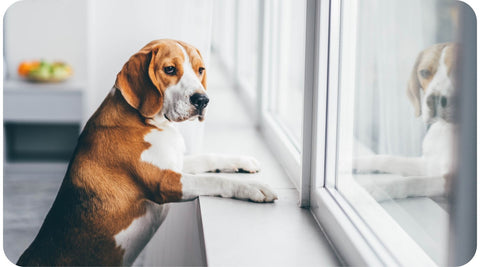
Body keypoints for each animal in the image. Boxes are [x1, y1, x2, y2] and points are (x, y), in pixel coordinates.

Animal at [16, 38, 278, 266]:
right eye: (170, 69)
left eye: (200, 70)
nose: (203, 100)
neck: (149, 122)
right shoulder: (165, 181)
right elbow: (212, 181)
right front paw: (253, 188)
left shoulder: (175, 163)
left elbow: (208, 158)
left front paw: (243, 160)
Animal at [354, 43, 460, 200]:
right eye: (424, 72)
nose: (433, 100)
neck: (446, 129)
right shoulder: (427, 164)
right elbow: (387, 159)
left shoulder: (451, 181)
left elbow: (413, 182)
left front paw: (377, 188)